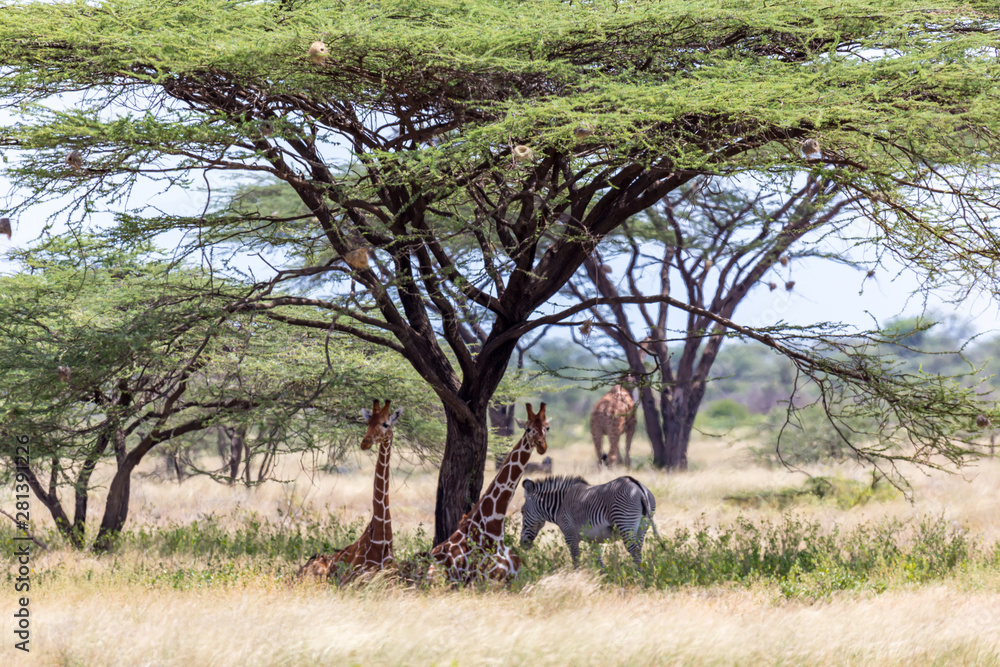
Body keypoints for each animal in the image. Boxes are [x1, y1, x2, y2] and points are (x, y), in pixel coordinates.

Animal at [427, 402, 550, 584]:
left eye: (547, 427)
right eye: (528, 429)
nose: (542, 446)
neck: (494, 526)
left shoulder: (516, 574)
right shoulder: (490, 579)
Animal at [519, 475, 659, 568]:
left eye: (522, 511)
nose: (522, 544)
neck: (560, 506)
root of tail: (637, 485)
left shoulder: (570, 536)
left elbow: (576, 560)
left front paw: (576, 579)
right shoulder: (593, 538)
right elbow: (599, 560)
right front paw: (603, 580)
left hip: (625, 524)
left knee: (634, 551)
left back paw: (638, 578)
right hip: (642, 526)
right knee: (639, 550)